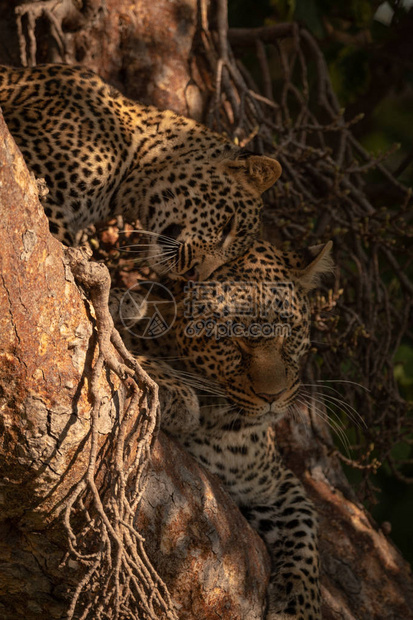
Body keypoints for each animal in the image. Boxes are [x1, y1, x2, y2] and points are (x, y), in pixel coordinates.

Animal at [112, 239, 332, 620]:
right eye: (232, 342)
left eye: (288, 334)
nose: (273, 396)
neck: (224, 427)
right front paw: (176, 393)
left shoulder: (273, 481)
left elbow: (306, 527)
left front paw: (300, 605)